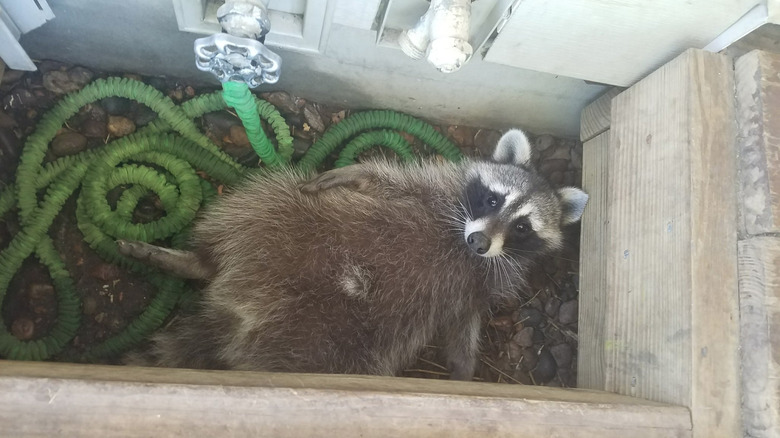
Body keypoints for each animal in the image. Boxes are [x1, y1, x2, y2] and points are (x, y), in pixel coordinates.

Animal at [120, 129, 584, 380]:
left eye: (522, 227)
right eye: (492, 199)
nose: (480, 243)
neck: (459, 238)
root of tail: (239, 314)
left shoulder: (477, 284)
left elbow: (462, 324)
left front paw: (463, 368)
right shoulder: (433, 189)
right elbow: (382, 179)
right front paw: (350, 173)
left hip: (327, 346)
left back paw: (198, 266)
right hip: (281, 218)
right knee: (260, 204)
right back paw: (197, 259)